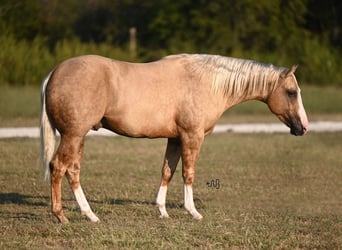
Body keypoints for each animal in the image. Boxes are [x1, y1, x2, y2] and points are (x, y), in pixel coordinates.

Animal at [40, 54, 310, 223]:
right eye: (291, 92)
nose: (304, 127)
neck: (206, 82)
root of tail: (53, 73)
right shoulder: (192, 136)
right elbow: (188, 173)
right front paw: (193, 212)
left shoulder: (175, 139)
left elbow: (167, 171)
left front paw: (162, 211)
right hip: (73, 135)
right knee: (58, 167)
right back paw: (61, 216)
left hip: (78, 137)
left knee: (72, 171)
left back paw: (90, 215)